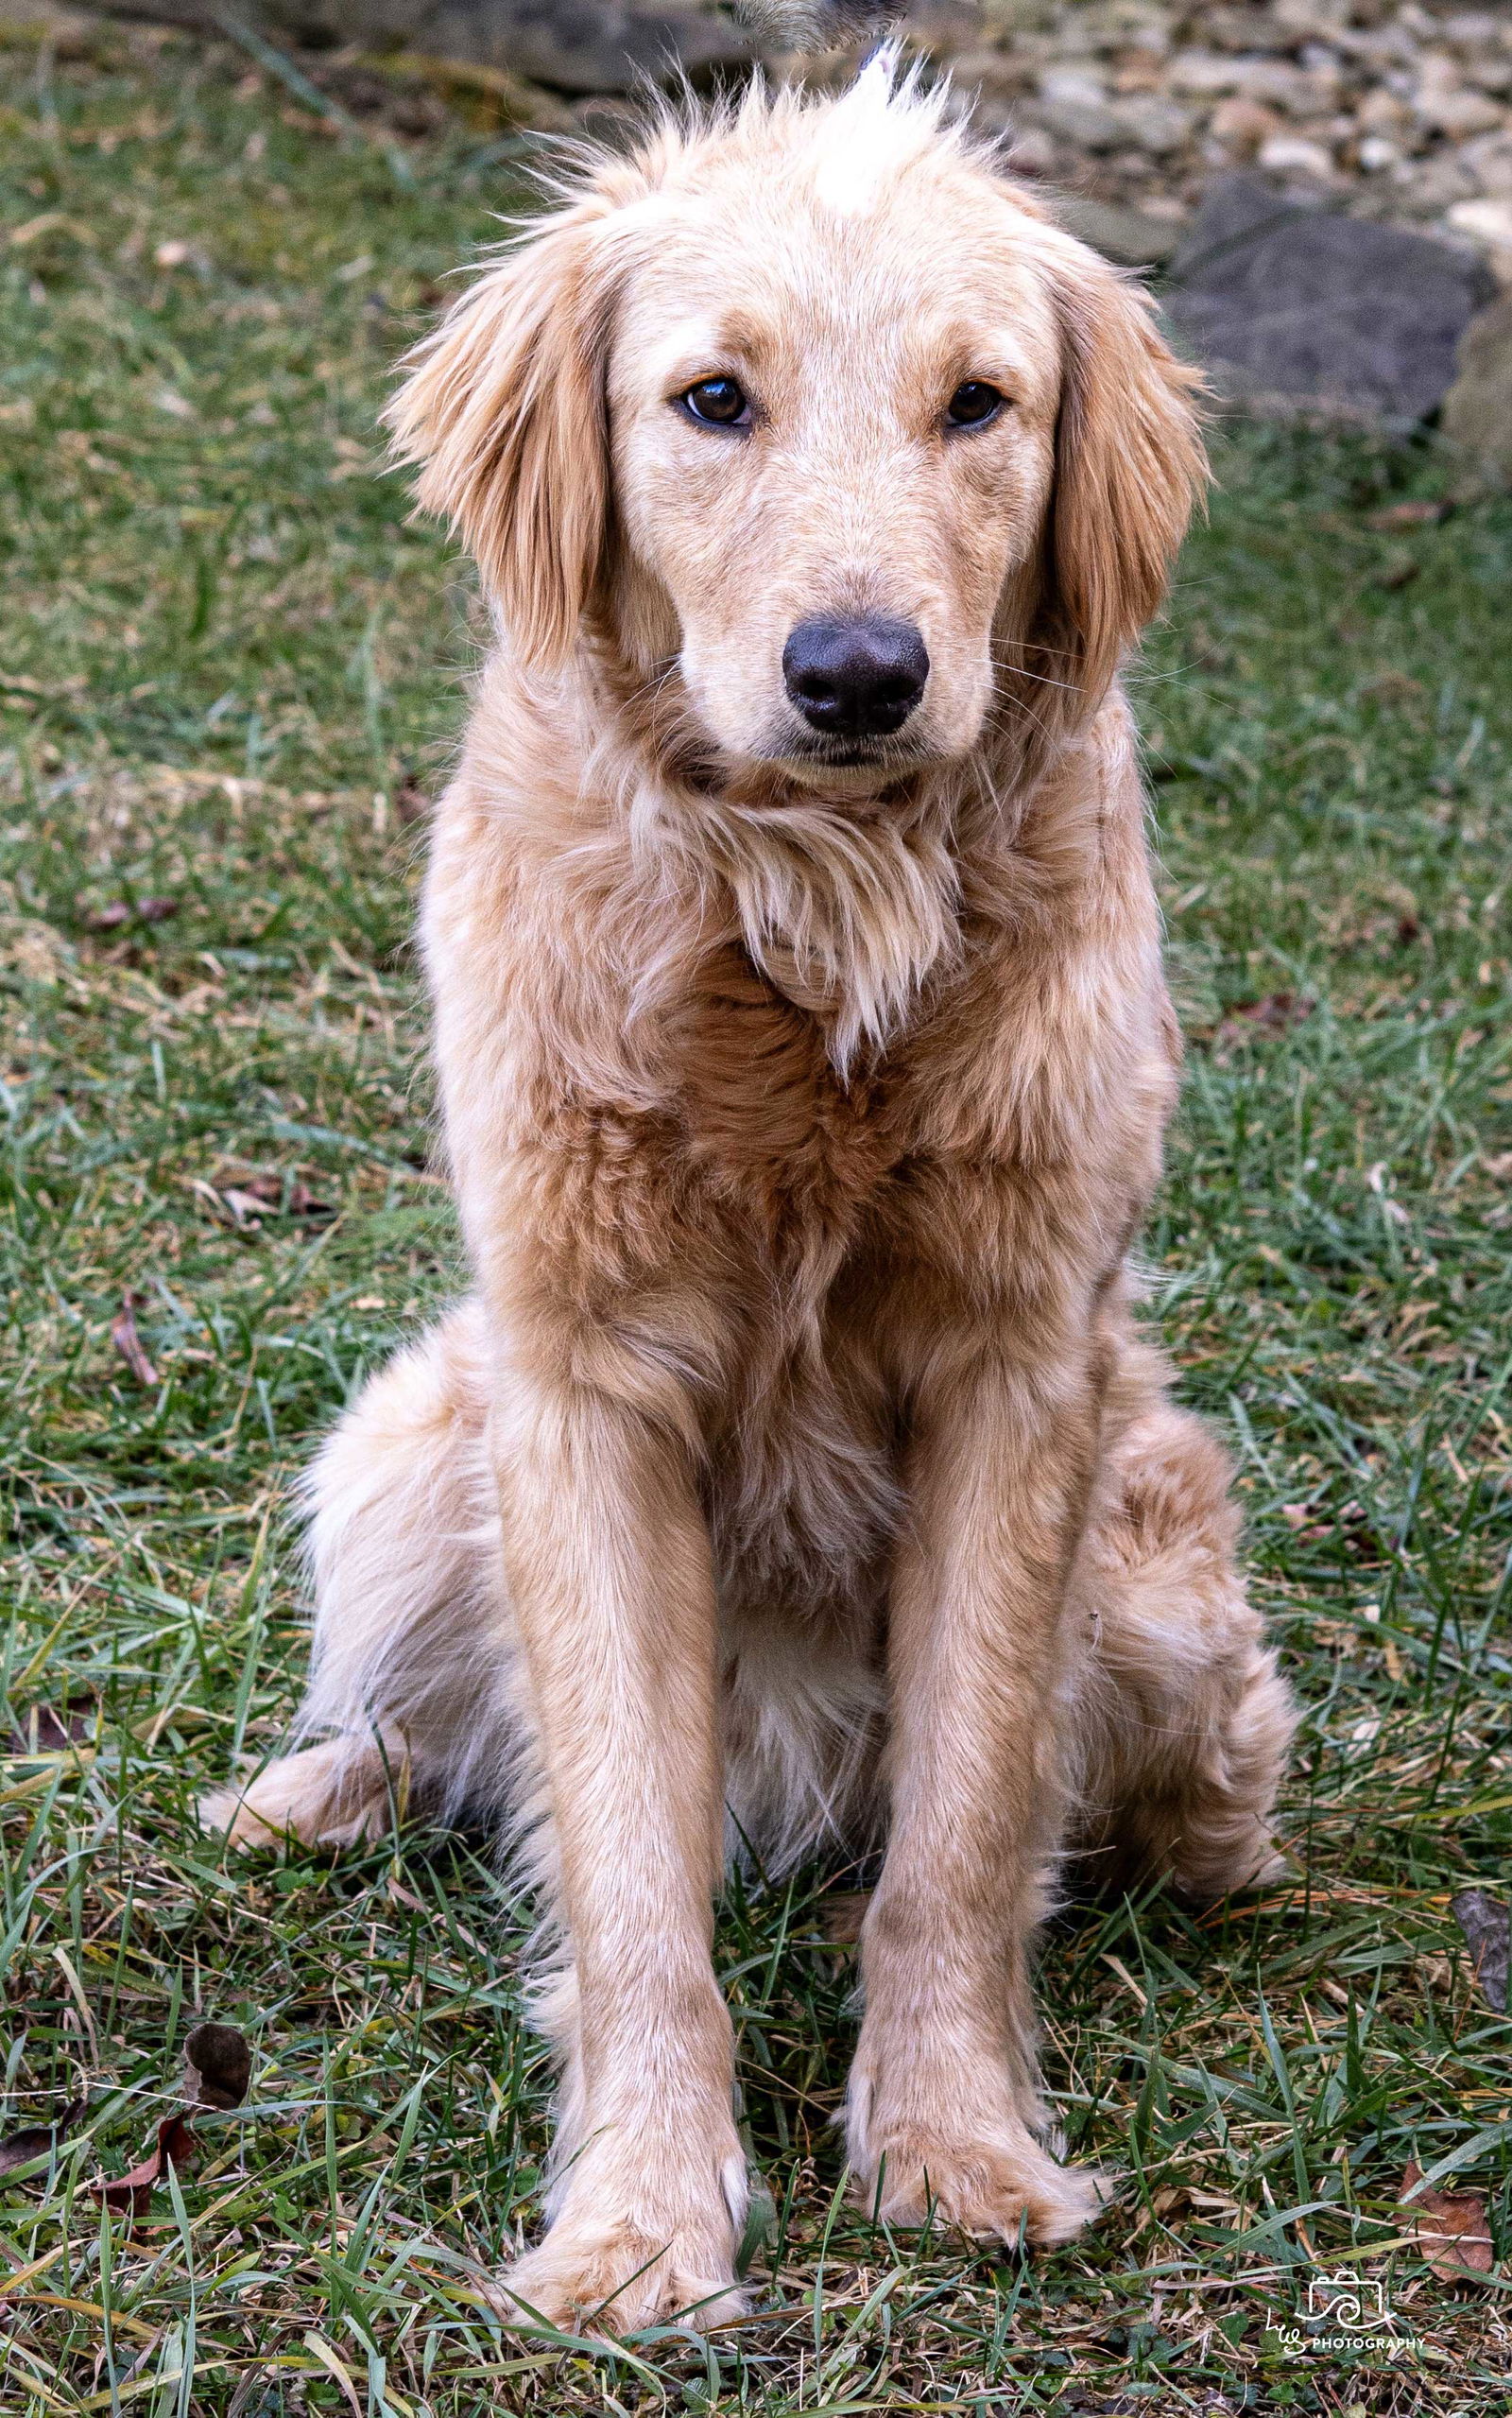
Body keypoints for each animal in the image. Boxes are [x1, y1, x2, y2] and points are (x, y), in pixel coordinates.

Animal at [203, 60, 1297, 2340]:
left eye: (978, 404)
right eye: (713, 398)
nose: (859, 672)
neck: (807, 910)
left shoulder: (1017, 1375)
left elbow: (959, 1838)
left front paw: (956, 2143)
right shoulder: (581, 1385)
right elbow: (624, 1868)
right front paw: (637, 2217)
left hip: (1156, 1590)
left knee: (1178, 1773)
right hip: (413, 1440)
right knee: (417, 1719)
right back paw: (301, 1790)